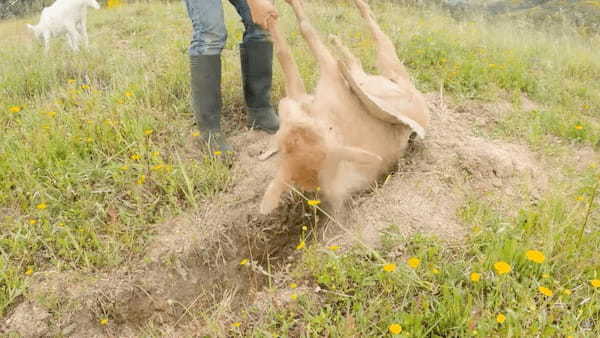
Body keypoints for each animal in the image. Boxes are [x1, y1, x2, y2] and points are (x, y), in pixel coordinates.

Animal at [250, 0, 432, 214]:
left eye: (314, 127)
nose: (284, 104)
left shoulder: (329, 75)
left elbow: (302, 33)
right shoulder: (302, 93)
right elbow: (286, 54)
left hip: (393, 74)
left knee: (379, 39)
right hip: (383, 76)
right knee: (358, 60)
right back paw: (339, 41)